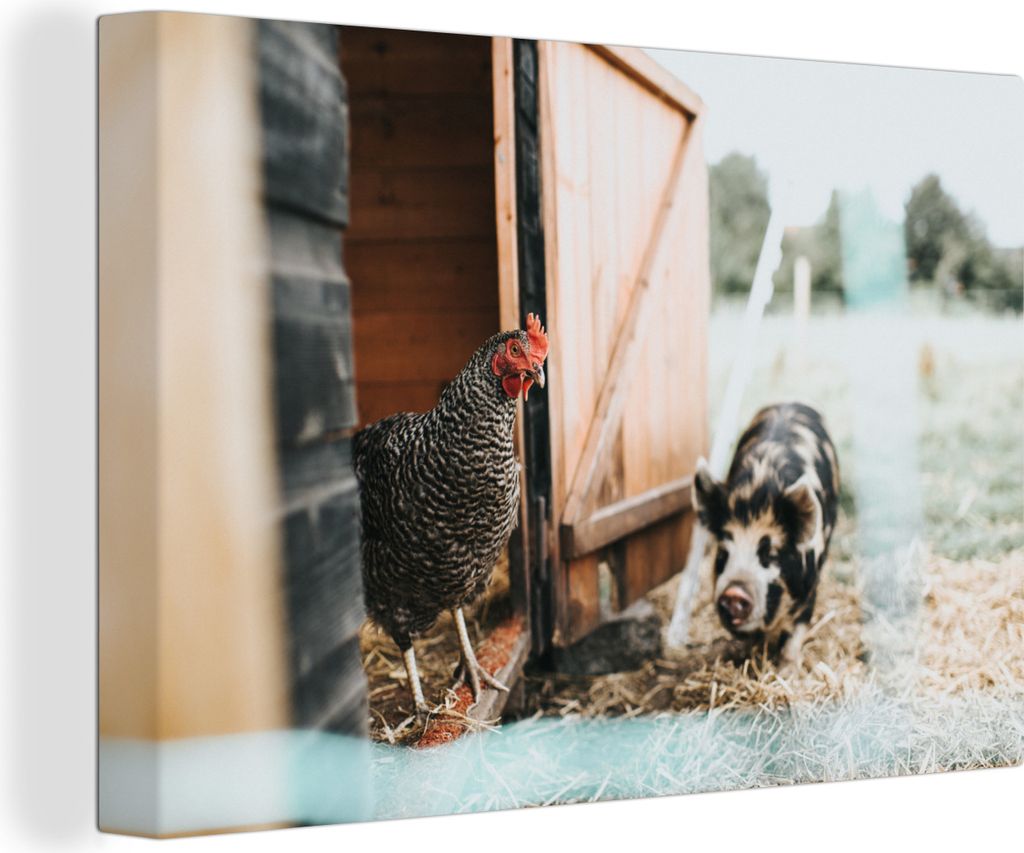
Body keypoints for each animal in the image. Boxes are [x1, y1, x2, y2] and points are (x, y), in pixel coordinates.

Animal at [691, 403, 840, 664]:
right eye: (723, 552)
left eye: (770, 553)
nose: (734, 592)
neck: (758, 494)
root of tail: (792, 402)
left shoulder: (809, 588)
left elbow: (795, 634)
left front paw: (787, 667)